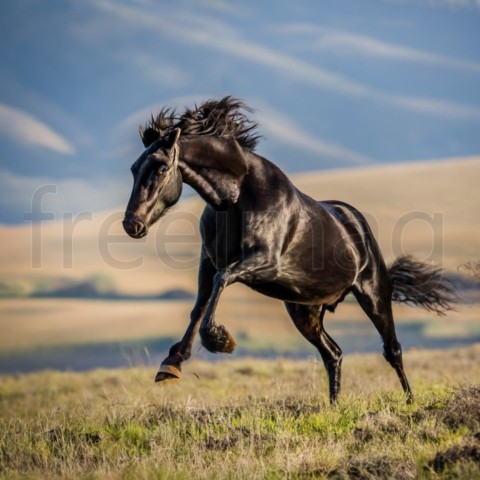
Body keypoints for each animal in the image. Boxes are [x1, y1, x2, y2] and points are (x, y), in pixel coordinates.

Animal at [122, 95, 456, 404]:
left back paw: (410, 401)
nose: (131, 224)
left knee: (392, 349)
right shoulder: (209, 262)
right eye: (134, 168)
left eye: (161, 167)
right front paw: (171, 365)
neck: (237, 198)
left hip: (373, 295)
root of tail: (356, 224)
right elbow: (200, 305)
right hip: (305, 311)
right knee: (333, 354)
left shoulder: (263, 262)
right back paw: (334, 408)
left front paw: (221, 340)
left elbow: (222, 281)